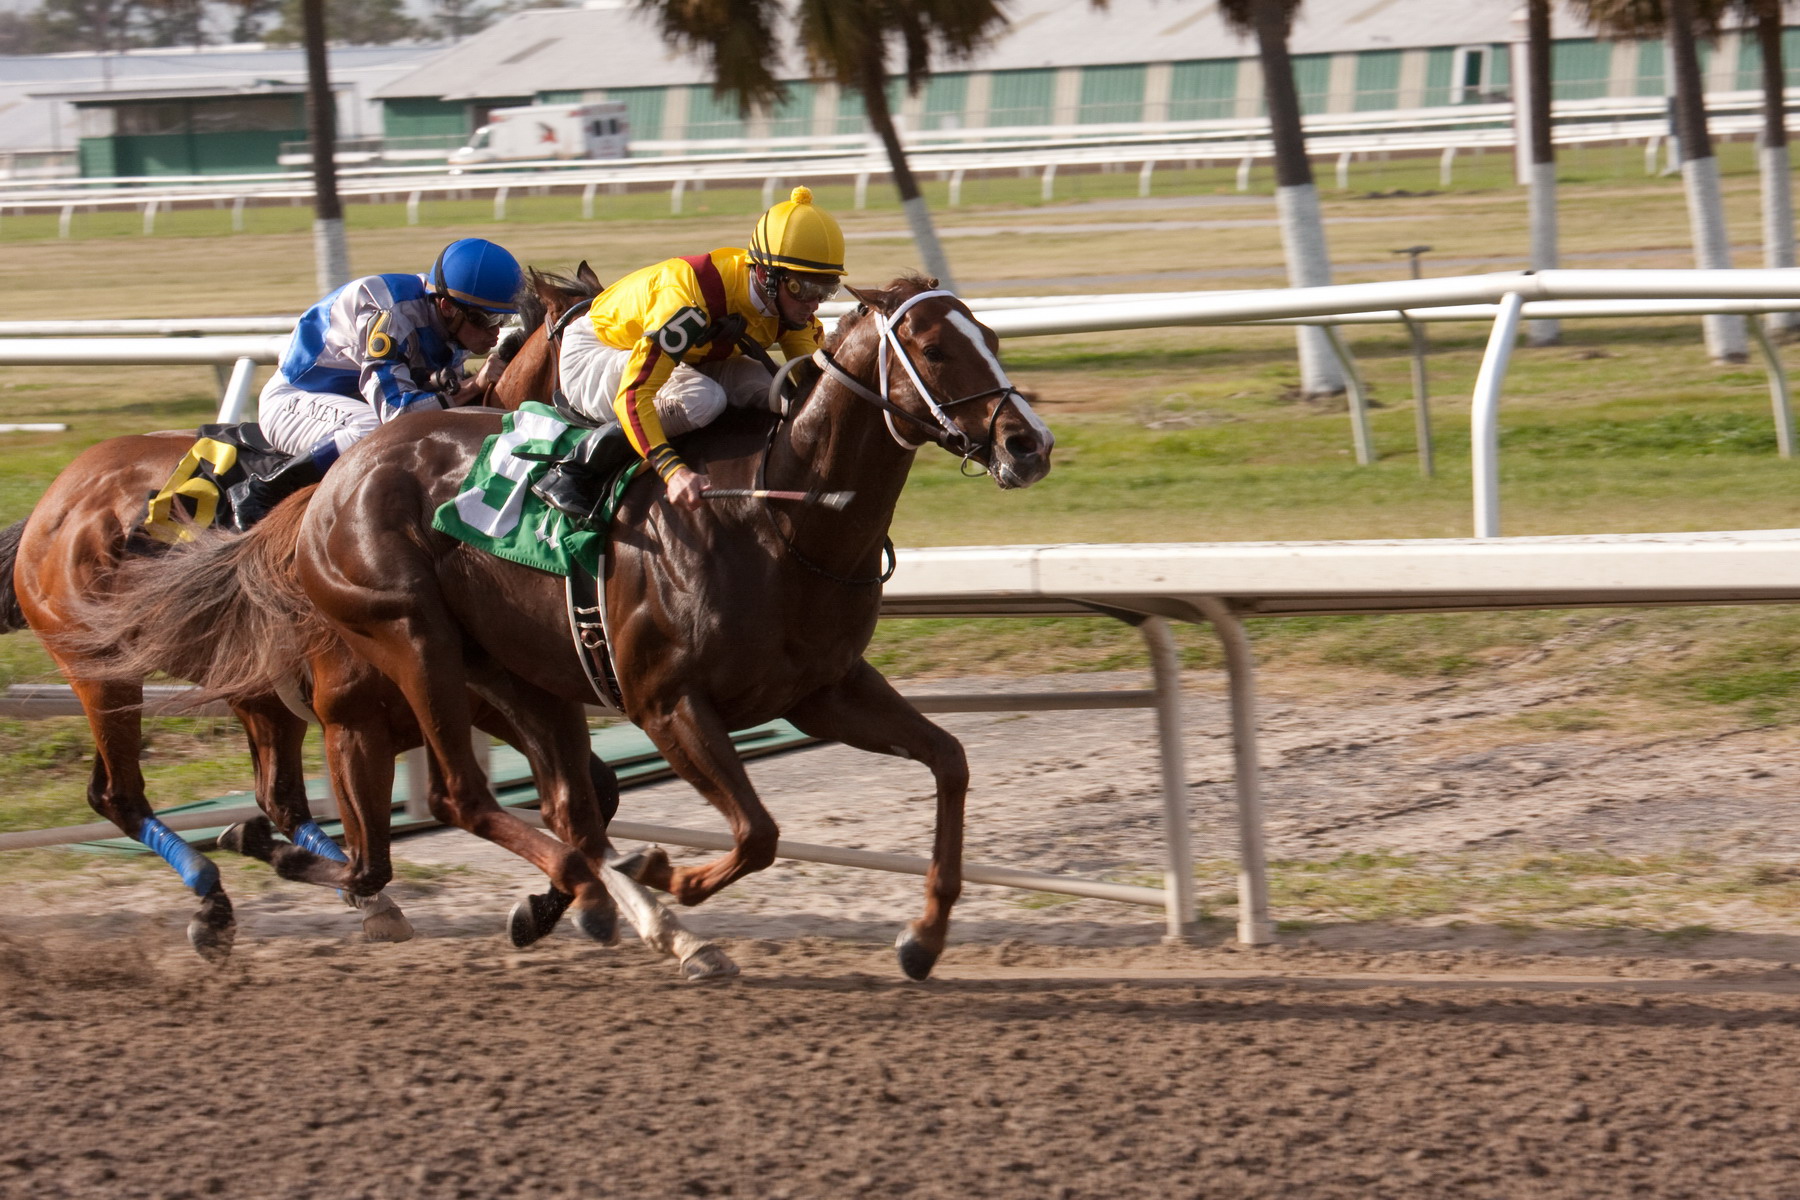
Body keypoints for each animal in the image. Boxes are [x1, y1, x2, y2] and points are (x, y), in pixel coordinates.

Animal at [73, 275, 1055, 979]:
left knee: (537, 814)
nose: (1028, 444)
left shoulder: (823, 689)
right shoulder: (667, 702)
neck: (783, 515)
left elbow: (950, 761)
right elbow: (755, 834)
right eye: (932, 347)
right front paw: (668, 879)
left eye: (992, 337)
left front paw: (923, 938)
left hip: (512, 675)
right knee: (460, 801)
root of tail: (323, 490)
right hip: (411, 640)